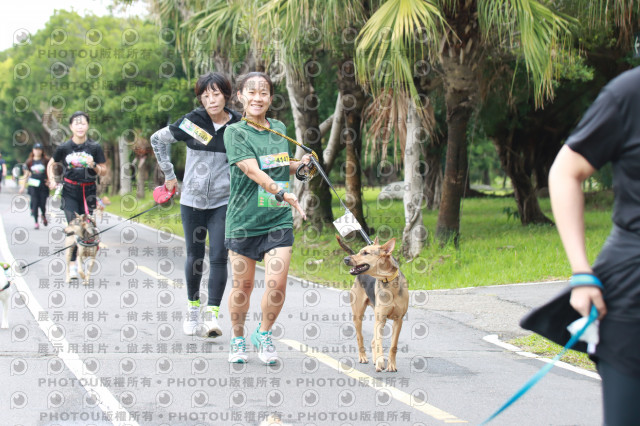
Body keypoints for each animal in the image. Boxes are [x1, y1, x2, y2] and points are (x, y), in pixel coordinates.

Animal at [340, 236, 410, 372]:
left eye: (365, 253)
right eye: (360, 251)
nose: (346, 259)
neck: (388, 282)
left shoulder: (398, 320)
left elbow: (393, 346)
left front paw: (391, 365)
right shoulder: (380, 319)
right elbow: (379, 343)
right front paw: (380, 362)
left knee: (372, 341)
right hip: (358, 316)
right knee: (360, 337)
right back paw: (364, 357)